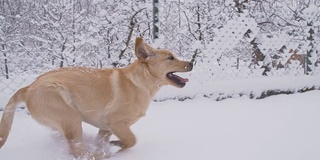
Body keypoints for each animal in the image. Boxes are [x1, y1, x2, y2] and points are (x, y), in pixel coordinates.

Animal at [0, 37, 192, 159]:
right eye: (170, 57)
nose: (191, 63)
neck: (140, 81)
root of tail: (28, 88)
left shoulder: (105, 127)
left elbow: (108, 140)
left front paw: (113, 147)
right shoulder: (116, 122)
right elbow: (132, 140)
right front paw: (116, 147)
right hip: (71, 119)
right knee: (76, 151)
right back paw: (96, 155)